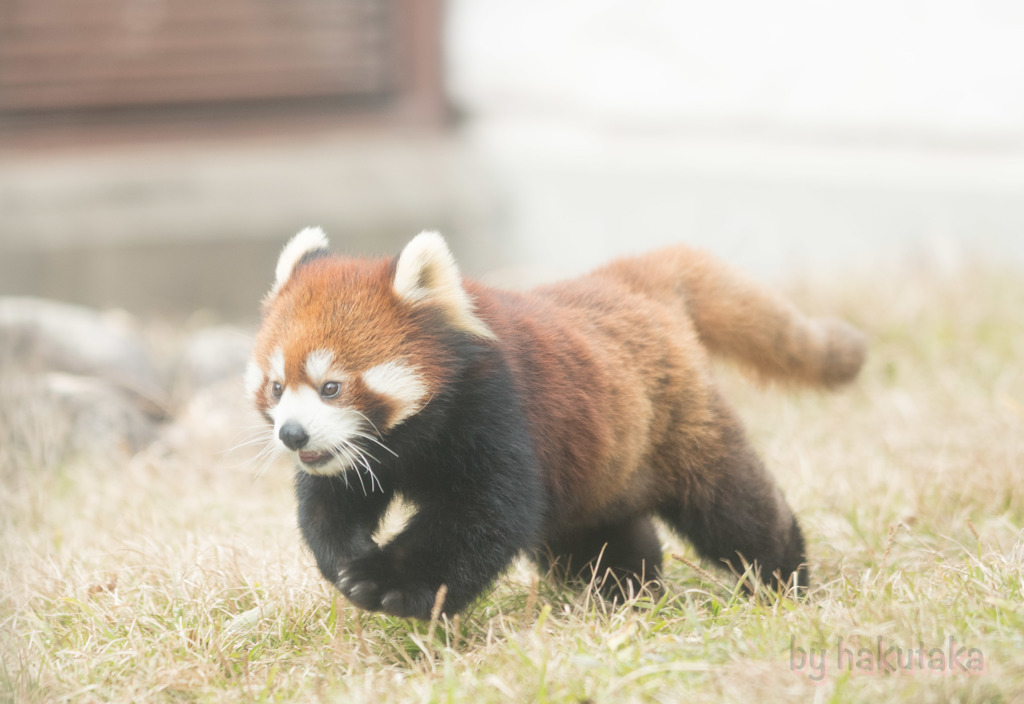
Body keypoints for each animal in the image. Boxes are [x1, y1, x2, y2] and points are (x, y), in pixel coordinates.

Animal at [247, 228, 864, 618]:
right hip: (597, 466)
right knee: (598, 539)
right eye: (277, 387)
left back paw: (784, 579)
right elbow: (329, 503)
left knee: (734, 507)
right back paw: (626, 592)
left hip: (679, 424)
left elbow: (483, 517)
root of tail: (628, 280)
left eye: (332, 386)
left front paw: (391, 584)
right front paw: (344, 558)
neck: (412, 442)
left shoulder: (497, 412)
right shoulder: (363, 454)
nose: (293, 434)